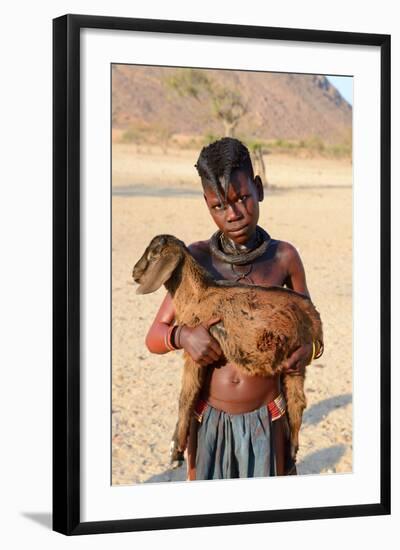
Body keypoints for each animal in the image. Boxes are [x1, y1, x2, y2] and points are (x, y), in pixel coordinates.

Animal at [133, 233, 324, 470]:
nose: (134, 272)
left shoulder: (194, 354)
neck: (197, 293)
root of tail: (315, 318)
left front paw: (176, 450)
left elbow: (186, 396)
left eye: (153, 254)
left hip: (297, 356)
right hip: (295, 365)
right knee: (298, 401)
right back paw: (291, 452)